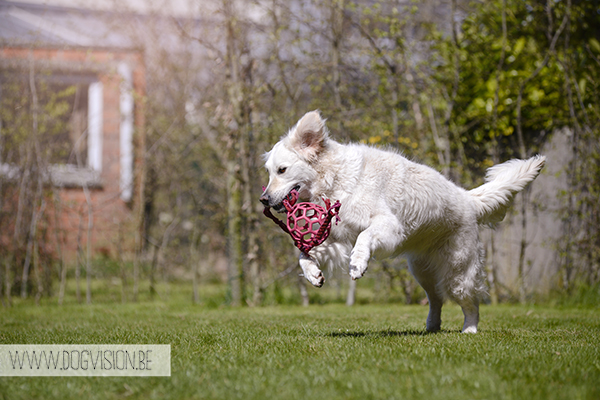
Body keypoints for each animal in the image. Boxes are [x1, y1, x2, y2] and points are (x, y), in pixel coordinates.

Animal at [260, 111, 548, 332]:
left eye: (282, 170)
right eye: (270, 172)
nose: (263, 199)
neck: (337, 178)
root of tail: (467, 198)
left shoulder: (388, 225)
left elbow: (364, 237)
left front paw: (359, 264)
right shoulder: (338, 238)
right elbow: (303, 252)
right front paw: (313, 274)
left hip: (458, 274)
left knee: (471, 302)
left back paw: (470, 329)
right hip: (423, 272)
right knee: (436, 299)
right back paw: (432, 326)